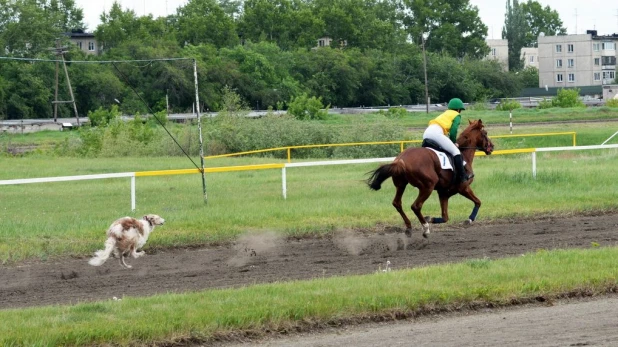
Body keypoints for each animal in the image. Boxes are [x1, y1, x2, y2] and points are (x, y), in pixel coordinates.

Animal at [364, 119, 494, 239]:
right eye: (485, 133)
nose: (492, 147)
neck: (464, 155)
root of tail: (400, 161)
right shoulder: (463, 188)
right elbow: (478, 202)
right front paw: (469, 220)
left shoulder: (443, 193)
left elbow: (445, 217)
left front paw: (429, 218)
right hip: (428, 186)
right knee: (416, 206)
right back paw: (425, 229)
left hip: (401, 185)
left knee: (397, 203)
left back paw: (409, 227)